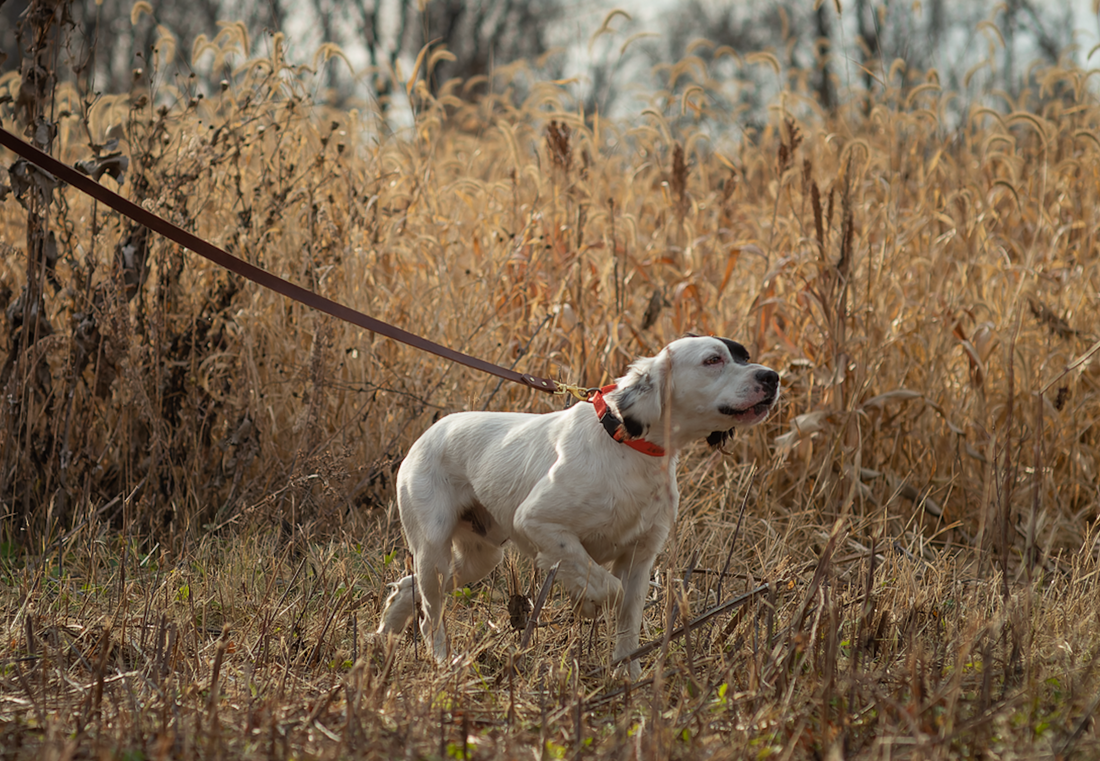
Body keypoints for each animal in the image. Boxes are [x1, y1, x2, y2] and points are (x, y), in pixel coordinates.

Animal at [378, 336, 783, 673]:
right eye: (713, 359)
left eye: (745, 355)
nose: (773, 376)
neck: (630, 447)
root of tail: (427, 434)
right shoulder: (538, 523)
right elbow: (609, 589)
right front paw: (585, 603)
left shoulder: (641, 554)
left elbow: (628, 621)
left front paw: (629, 677)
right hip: (434, 549)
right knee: (431, 615)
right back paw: (443, 660)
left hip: (479, 556)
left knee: (408, 587)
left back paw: (387, 629)